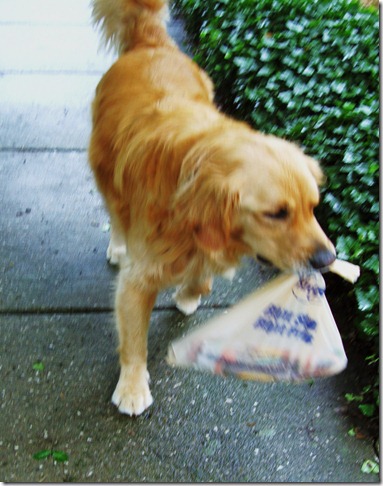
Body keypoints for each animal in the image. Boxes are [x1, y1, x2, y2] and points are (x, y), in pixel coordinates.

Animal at [89, 0, 336, 418]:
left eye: (313, 207)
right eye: (276, 213)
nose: (327, 259)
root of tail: (151, 44)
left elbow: (202, 273)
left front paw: (190, 294)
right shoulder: (139, 277)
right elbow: (134, 337)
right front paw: (133, 386)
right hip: (105, 170)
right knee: (115, 211)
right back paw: (118, 245)